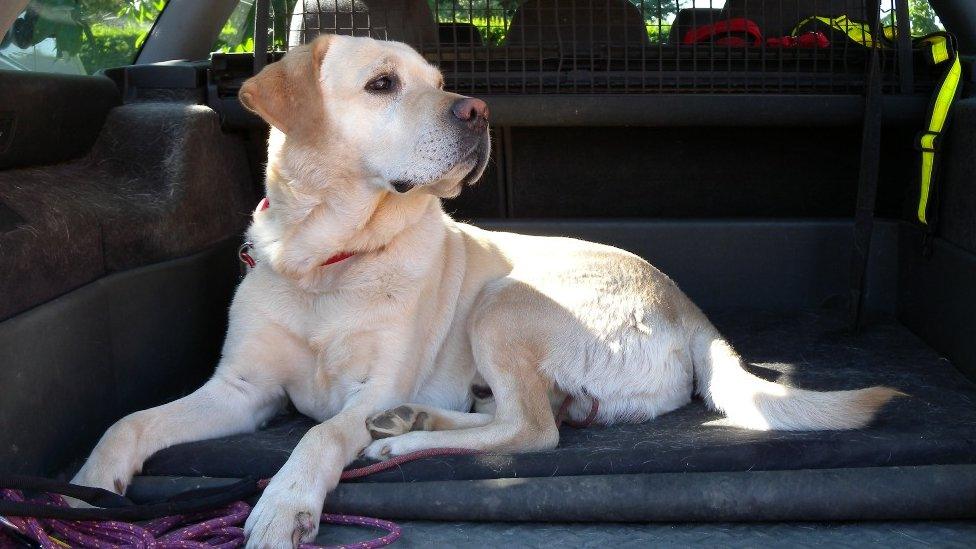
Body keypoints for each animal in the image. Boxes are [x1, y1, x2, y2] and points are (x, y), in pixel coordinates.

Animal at [74, 36, 900, 544]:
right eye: (382, 84)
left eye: (442, 84)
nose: (478, 108)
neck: (328, 261)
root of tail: (692, 310)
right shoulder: (241, 390)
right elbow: (129, 421)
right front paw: (86, 488)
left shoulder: (371, 386)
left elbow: (321, 433)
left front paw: (286, 502)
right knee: (518, 416)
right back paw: (417, 425)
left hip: (506, 299)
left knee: (532, 429)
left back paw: (403, 435)